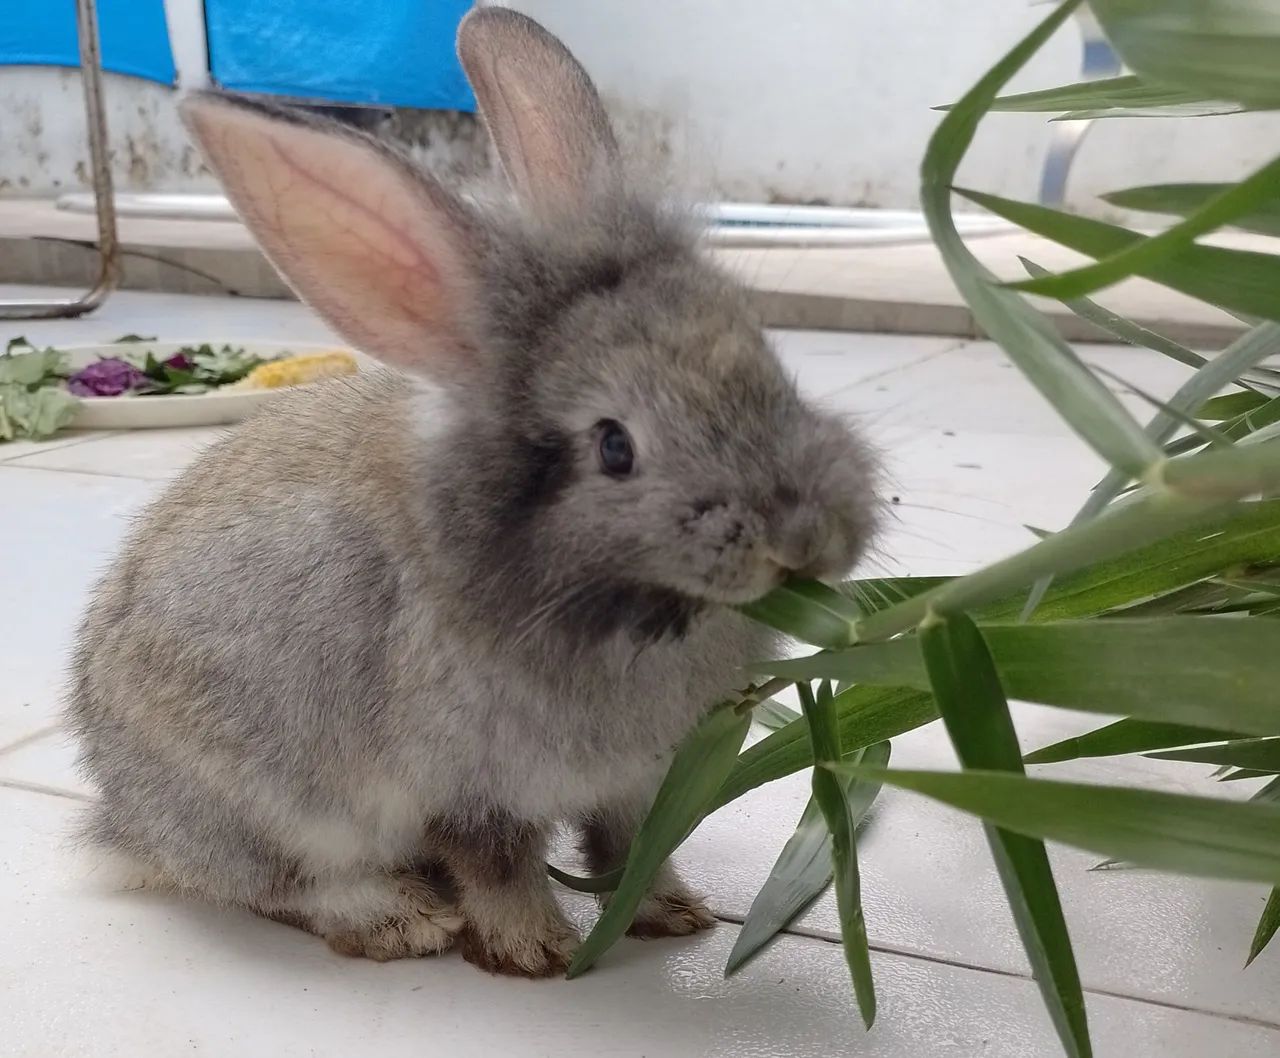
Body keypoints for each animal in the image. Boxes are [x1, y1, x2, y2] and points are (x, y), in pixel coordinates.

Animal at [66, 7, 879, 978]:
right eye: (614, 447)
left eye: (765, 360)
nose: (805, 538)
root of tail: (124, 822)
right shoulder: (469, 786)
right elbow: (499, 865)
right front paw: (540, 953)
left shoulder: (636, 780)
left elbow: (628, 847)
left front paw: (676, 915)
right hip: (263, 808)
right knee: (289, 884)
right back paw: (404, 920)